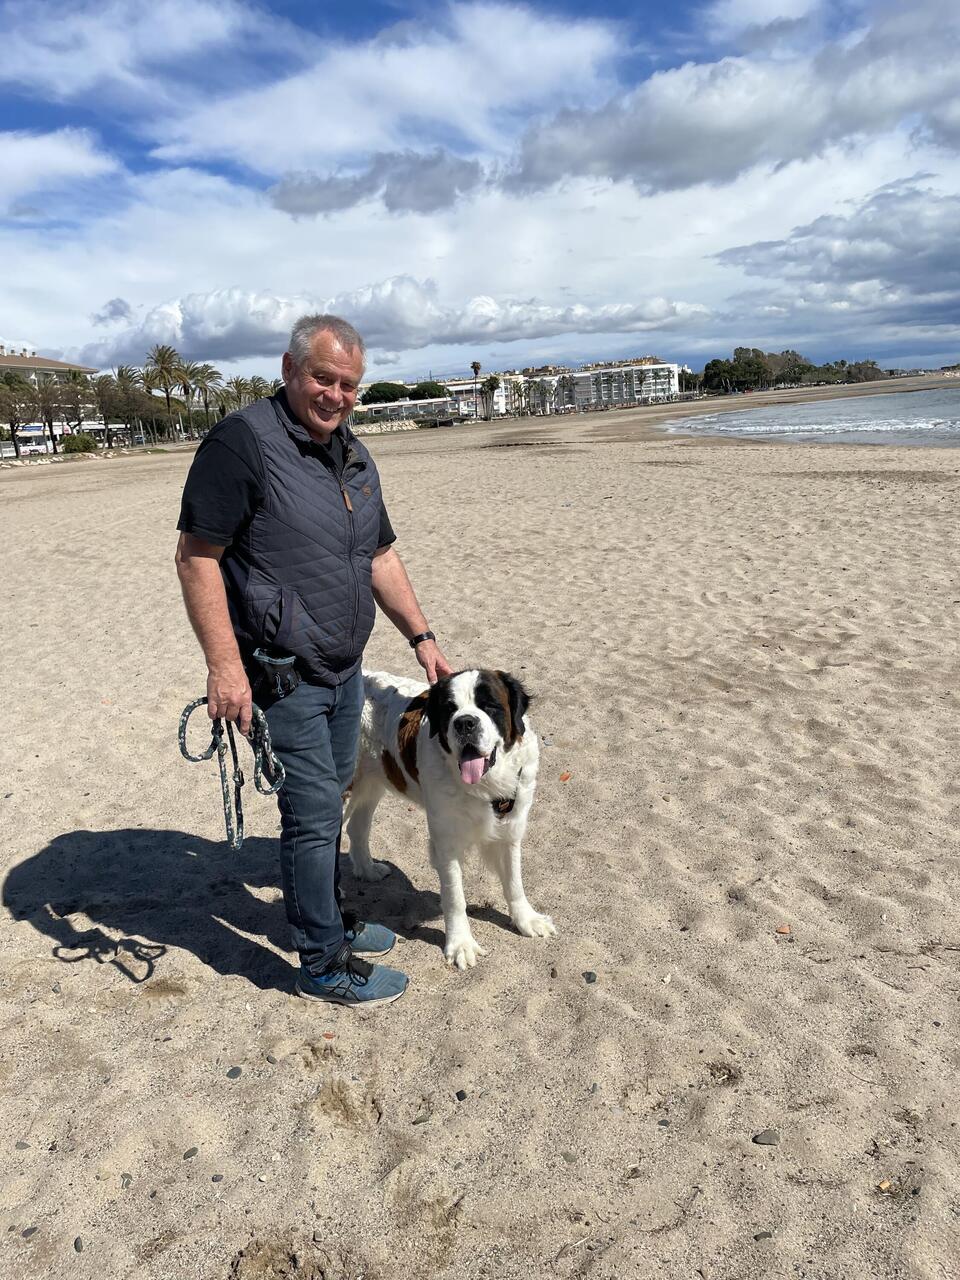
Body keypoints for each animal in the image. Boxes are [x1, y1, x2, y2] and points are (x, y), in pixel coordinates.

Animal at [344, 668, 556, 969]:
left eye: (489, 705)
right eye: (450, 709)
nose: (465, 723)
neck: (484, 787)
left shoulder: (510, 830)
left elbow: (515, 882)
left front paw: (527, 920)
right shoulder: (446, 843)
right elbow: (455, 897)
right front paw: (461, 945)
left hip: (371, 784)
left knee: (357, 828)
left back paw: (368, 870)